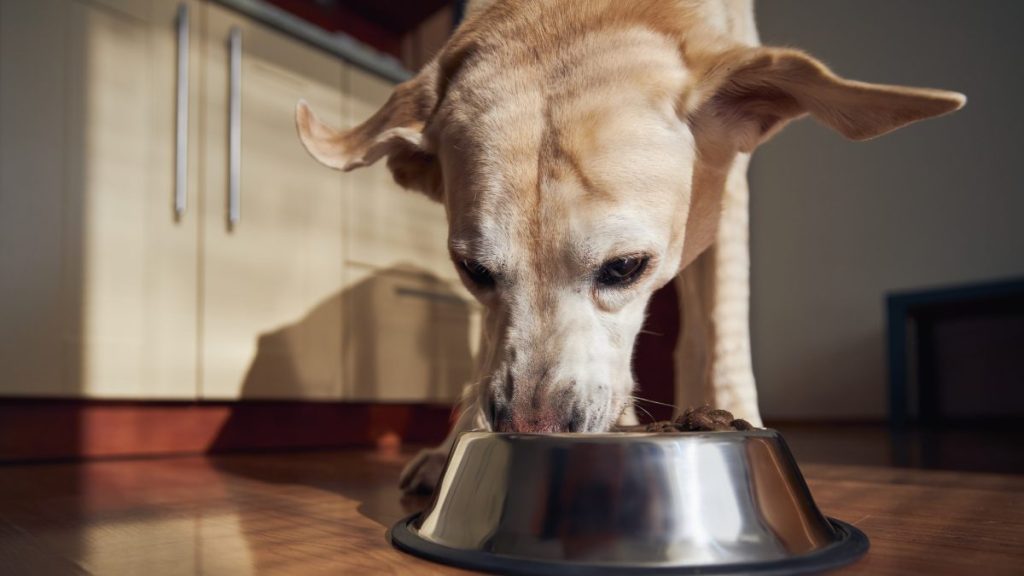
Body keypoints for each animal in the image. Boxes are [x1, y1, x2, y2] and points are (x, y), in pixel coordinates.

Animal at [292, 1, 962, 494]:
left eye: (624, 268)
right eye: (473, 271)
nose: (532, 429)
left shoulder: (729, 197)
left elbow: (723, 337)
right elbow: (486, 356)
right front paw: (454, 443)